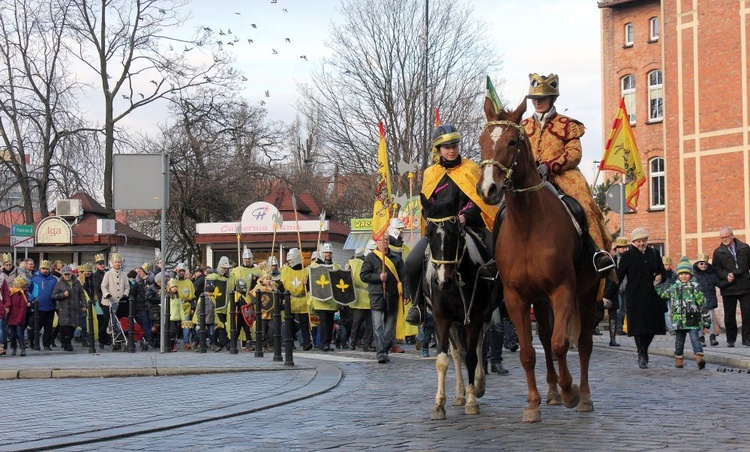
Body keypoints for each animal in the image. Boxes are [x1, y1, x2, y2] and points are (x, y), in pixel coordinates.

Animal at [424, 192, 494, 418]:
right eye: (428, 234)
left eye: (455, 233)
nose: (442, 280)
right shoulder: (441, 318)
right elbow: (443, 359)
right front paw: (439, 404)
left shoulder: (475, 316)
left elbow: (472, 356)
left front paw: (472, 401)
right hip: (455, 324)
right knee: (457, 354)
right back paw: (459, 394)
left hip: (482, 317)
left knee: (479, 347)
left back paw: (478, 386)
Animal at [478, 97, 604, 422]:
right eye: (482, 141)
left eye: (512, 142)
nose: (488, 189)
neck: (528, 227)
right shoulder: (516, 297)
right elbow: (528, 351)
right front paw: (533, 403)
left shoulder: (563, 290)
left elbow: (562, 344)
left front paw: (570, 391)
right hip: (540, 299)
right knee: (545, 339)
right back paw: (551, 391)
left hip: (587, 293)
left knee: (582, 343)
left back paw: (583, 397)